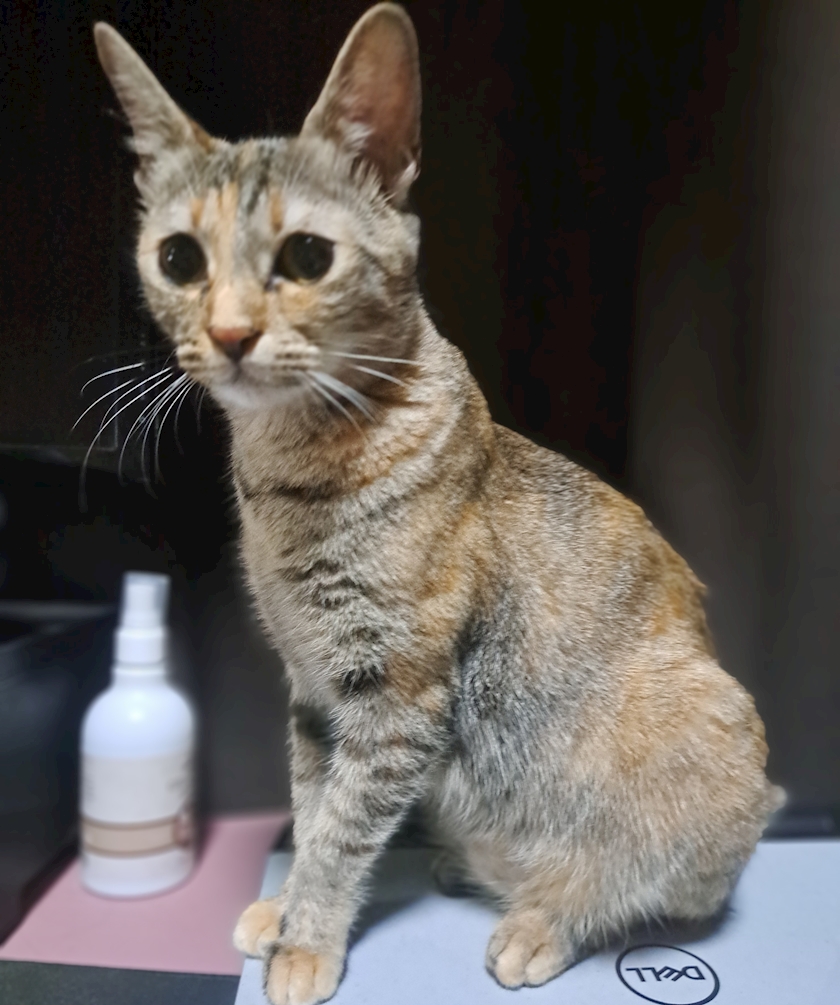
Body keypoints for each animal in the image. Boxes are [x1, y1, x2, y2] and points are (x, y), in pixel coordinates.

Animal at [94, 6, 783, 1005]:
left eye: (307, 255)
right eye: (179, 258)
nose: (228, 333)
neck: (286, 477)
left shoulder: (397, 694)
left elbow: (341, 829)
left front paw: (307, 939)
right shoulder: (315, 690)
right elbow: (312, 806)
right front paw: (288, 909)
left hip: (706, 728)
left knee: (645, 883)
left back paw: (541, 917)